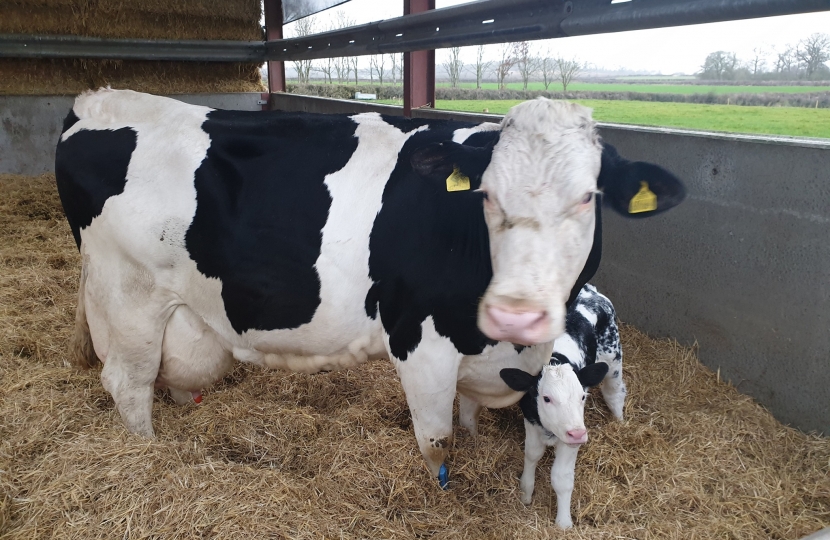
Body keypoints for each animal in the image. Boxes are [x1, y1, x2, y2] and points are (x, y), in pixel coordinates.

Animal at [55, 90, 684, 484]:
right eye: (486, 194)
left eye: (587, 197)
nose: (517, 315)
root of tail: (96, 101)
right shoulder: (421, 344)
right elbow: (438, 440)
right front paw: (443, 489)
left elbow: (468, 419)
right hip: (128, 297)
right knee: (128, 385)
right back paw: (150, 454)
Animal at [500, 284, 624, 528]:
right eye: (546, 398)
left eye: (582, 397)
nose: (578, 434)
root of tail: (589, 289)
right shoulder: (531, 419)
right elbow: (532, 453)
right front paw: (526, 492)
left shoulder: (573, 436)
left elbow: (561, 478)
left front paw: (564, 522)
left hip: (613, 357)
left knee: (615, 392)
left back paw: (620, 422)